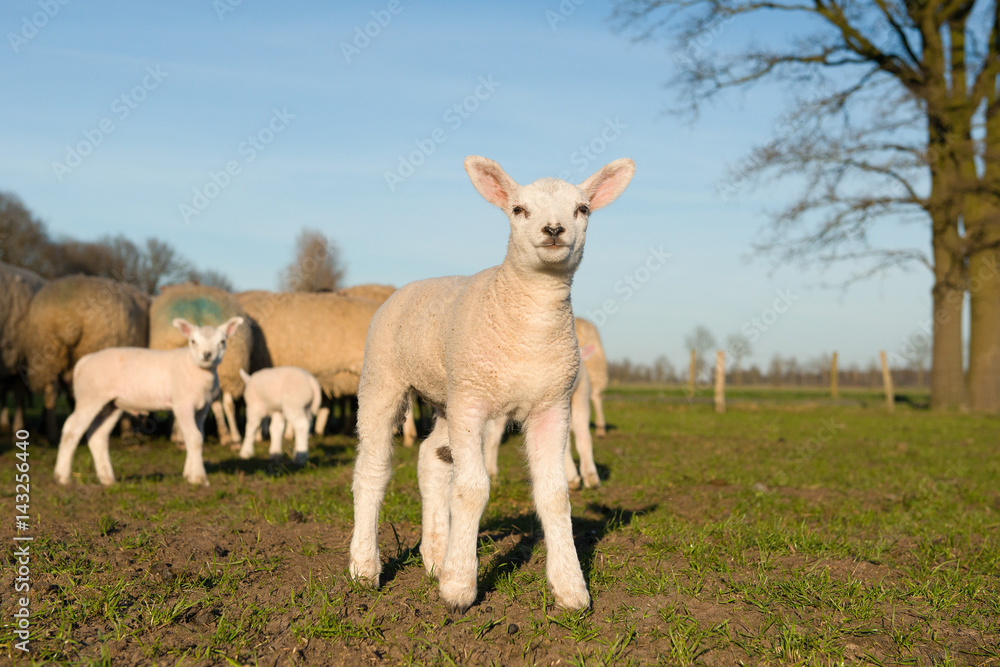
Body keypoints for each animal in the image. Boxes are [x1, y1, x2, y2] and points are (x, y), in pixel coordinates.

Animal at [53, 317, 243, 486]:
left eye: (222, 341)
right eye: (193, 341)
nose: (207, 355)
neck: (195, 368)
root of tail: (84, 362)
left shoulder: (202, 408)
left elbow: (199, 437)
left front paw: (189, 474)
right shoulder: (183, 404)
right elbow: (194, 437)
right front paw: (199, 478)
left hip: (111, 404)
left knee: (97, 435)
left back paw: (107, 479)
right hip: (90, 397)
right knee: (71, 429)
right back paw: (62, 477)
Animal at [149, 283, 252, 446]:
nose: (207, 354)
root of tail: (198, 312)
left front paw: (176, 434)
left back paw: (180, 438)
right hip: (230, 369)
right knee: (227, 403)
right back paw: (232, 438)